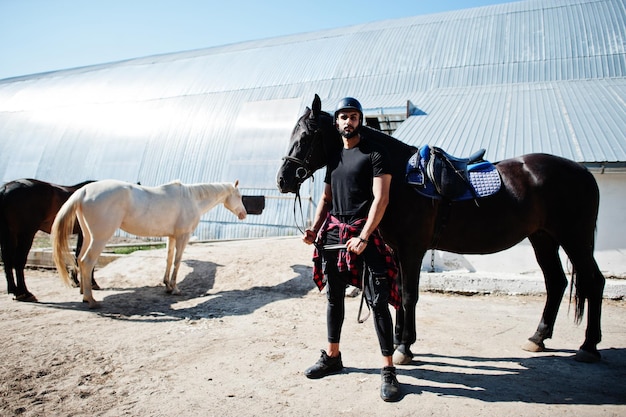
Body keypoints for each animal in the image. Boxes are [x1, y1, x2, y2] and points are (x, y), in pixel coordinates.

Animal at [51, 177, 246, 308]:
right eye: (239, 195)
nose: (244, 214)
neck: (191, 199)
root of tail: (83, 191)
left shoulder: (171, 236)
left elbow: (168, 259)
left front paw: (167, 285)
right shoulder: (183, 236)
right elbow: (177, 261)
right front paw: (175, 288)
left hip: (88, 236)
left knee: (80, 259)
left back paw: (84, 294)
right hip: (100, 238)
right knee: (87, 261)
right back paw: (91, 300)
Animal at [276, 96, 604, 362]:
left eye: (307, 135)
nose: (283, 179)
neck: (399, 180)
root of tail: (583, 172)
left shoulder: (413, 250)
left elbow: (409, 295)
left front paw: (404, 347)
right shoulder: (397, 250)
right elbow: (398, 295)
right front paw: (401, 339)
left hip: (574, 239)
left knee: (594, 281)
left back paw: (588, 346)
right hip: (543, 238)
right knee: (556, 282)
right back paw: (538, 337)